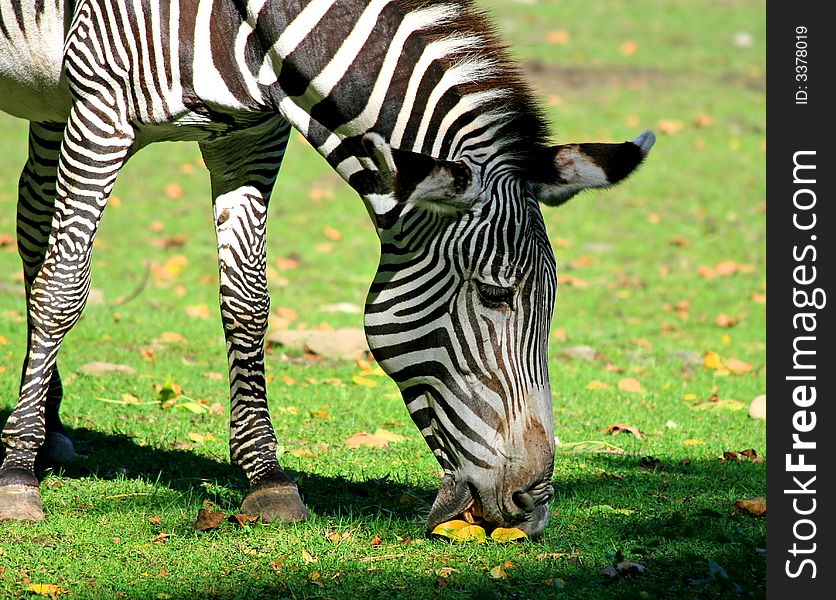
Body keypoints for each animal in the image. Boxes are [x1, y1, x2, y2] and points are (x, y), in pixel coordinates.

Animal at [0, 0, 652, 536]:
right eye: (495, 295)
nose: (534, 507)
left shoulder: (250, 135)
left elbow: (247, 300)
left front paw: (267, 478)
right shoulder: (100, 110)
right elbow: (64, 287)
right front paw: (16, 478)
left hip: (52, 103)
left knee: (33, 220)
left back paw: (50, 425)